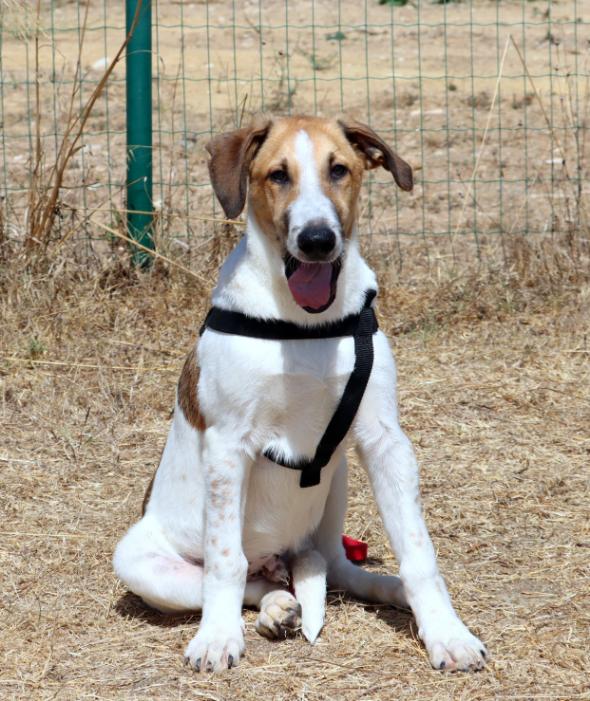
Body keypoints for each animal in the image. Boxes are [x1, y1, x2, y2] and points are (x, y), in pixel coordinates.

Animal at [113, 115, 487, 673]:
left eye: (339, 170)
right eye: (277, 175)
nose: (316, 240)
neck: (304, 326)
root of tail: (281, 555)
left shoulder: (386, 440)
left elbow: (419, 553)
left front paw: (446, 632)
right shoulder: (227, 448)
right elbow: (224, 562)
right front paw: (217, 638)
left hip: (340, 483)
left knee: (337, 567)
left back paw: (381, 589)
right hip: (138, 561)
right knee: (247, 579)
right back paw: (273, 606)